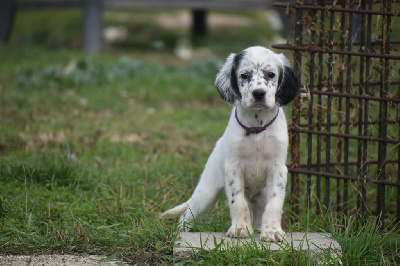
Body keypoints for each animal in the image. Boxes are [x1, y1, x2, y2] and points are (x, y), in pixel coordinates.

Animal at [161, 45, 298, 241]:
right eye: (244, 75)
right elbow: (237, 200)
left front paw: (272, 231)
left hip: (258, 198)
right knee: (186, 216)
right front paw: (240, 228)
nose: (258, 93)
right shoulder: (234, 166)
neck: (256, 127)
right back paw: (180, 234)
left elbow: (275, 201)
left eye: (271, 74)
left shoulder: (278, 168)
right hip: (206, 193)